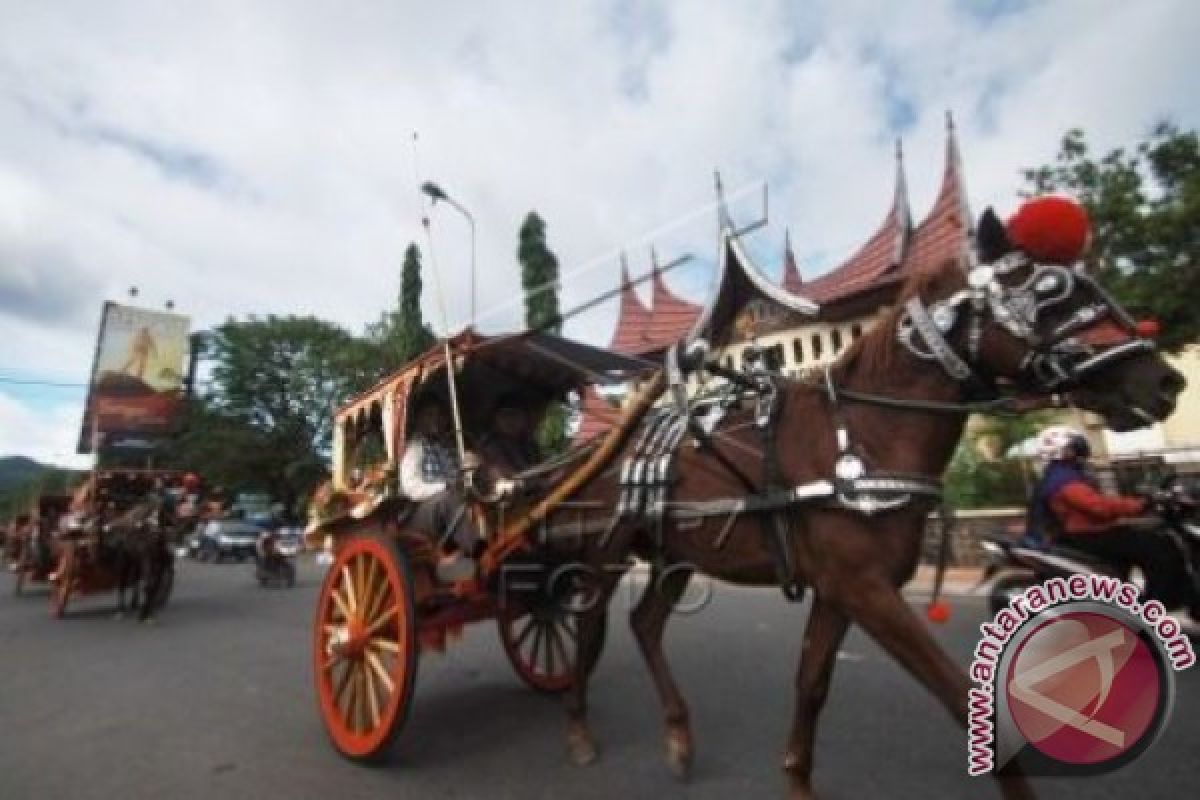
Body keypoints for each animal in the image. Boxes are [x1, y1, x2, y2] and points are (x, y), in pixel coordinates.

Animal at [552, 208, 1180, 800]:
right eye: (1051, 291)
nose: (1165, 382)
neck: (866, 431)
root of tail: (597, 449)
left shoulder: (840, 589)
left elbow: (811, 683)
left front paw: (797, 779)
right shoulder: (866, 589)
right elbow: (957, 694)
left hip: (674, 555)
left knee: (644, 623)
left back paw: (678, 734)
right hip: (605, 552)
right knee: (586, 625)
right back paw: (577, 727)